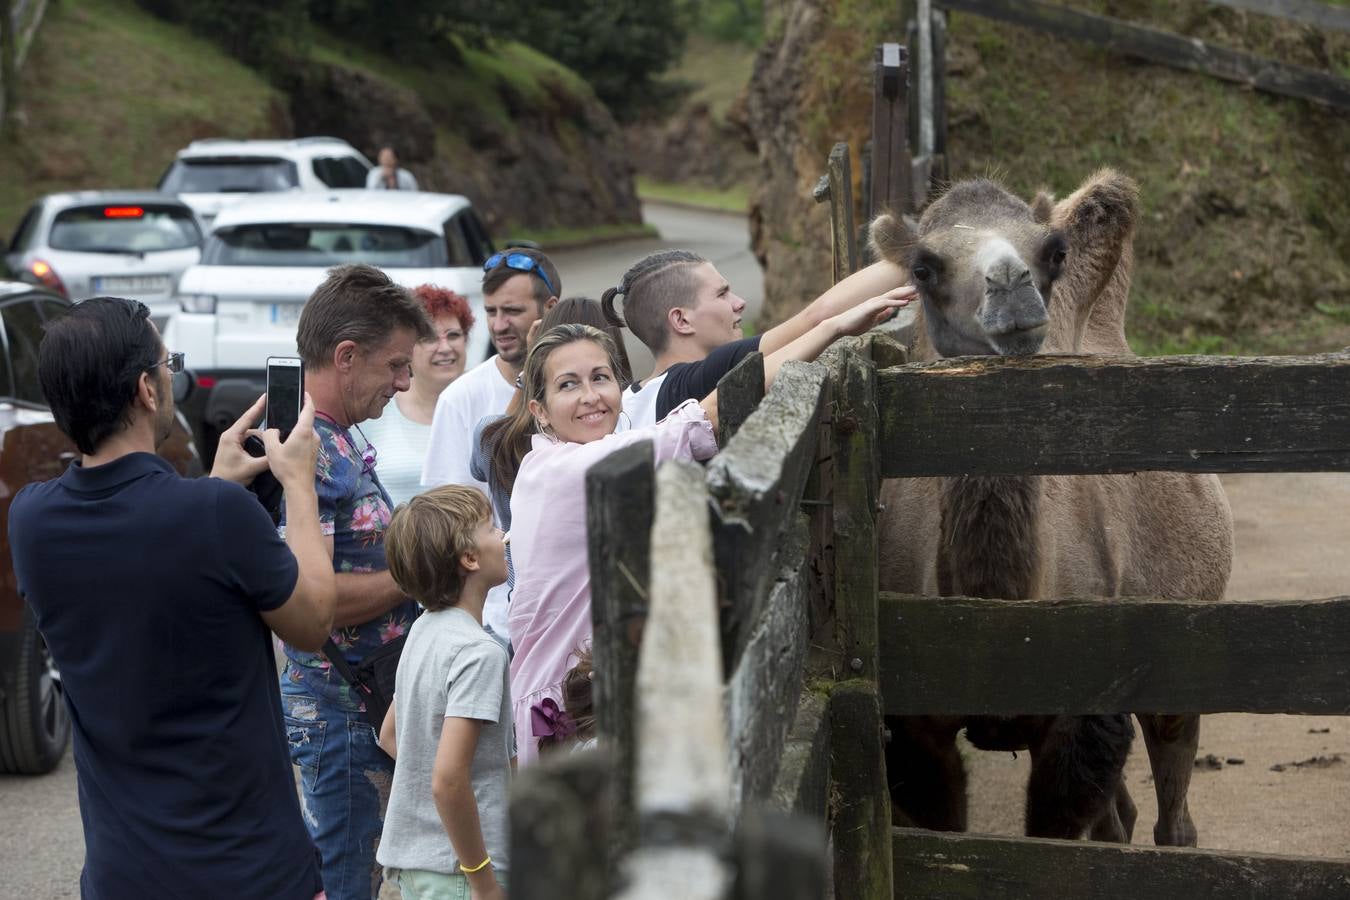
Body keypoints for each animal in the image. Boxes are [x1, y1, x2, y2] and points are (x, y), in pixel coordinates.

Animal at [874, 170, 1236, 847]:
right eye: (923, 267)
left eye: (1053, 252)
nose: (1011, 288)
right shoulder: (914, 728)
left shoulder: (1081, 714)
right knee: (1121, 815)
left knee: (1172, 800)